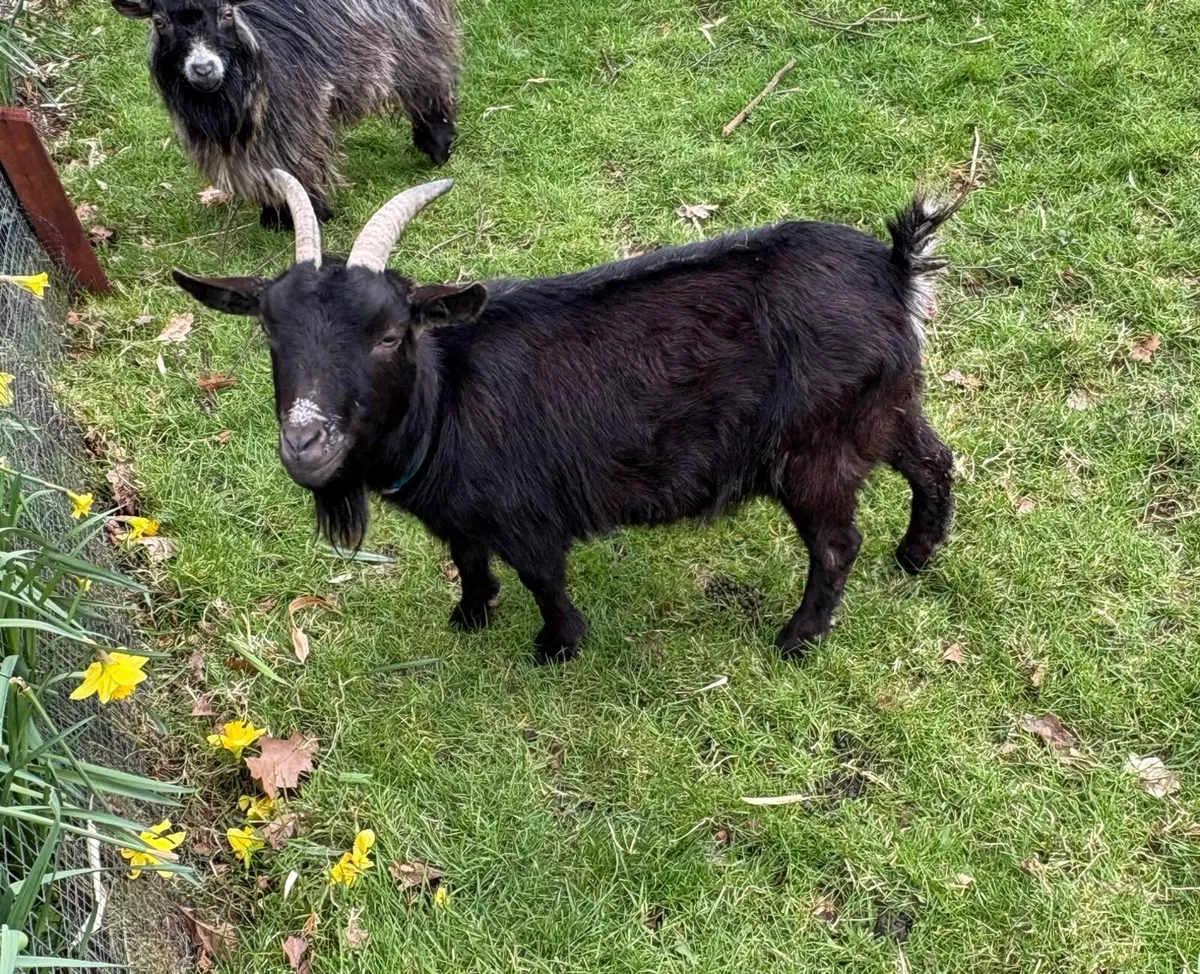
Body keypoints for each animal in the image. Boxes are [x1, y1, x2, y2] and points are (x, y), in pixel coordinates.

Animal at [112, 0, 460, 231]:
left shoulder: (298, 115)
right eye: (159, 21)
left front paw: (309, 212)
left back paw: (438, 147)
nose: (203, 68)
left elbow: (296, 162)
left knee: (431, 84)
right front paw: (273, 215)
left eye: (227, 13)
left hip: (415, 38)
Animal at [173, 171, 959, 664]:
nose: (305, 442)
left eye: (390, 334)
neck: (444, 398)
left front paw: (556, 648)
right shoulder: (461, 516)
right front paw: (470, 616)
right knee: (936, 461)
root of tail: (896, 270)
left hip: (816, 450)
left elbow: (543, 581)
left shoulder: (529, 516)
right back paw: (916, 556)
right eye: (269, 329)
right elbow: (467, 556)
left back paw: (798, 639)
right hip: (886, 406)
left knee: (837, 543)